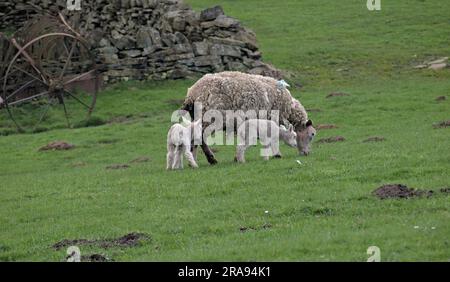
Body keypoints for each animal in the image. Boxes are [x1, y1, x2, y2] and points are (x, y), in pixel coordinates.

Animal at [181, 70, 314, 164]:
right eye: (312, 134)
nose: (307, 153)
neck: (288, 109)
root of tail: (192, 93)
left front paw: (236, 157)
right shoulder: (271, 119)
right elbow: (273, 139)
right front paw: (277, 154)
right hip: (210, 118)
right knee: (200, 138)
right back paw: (207, 159)